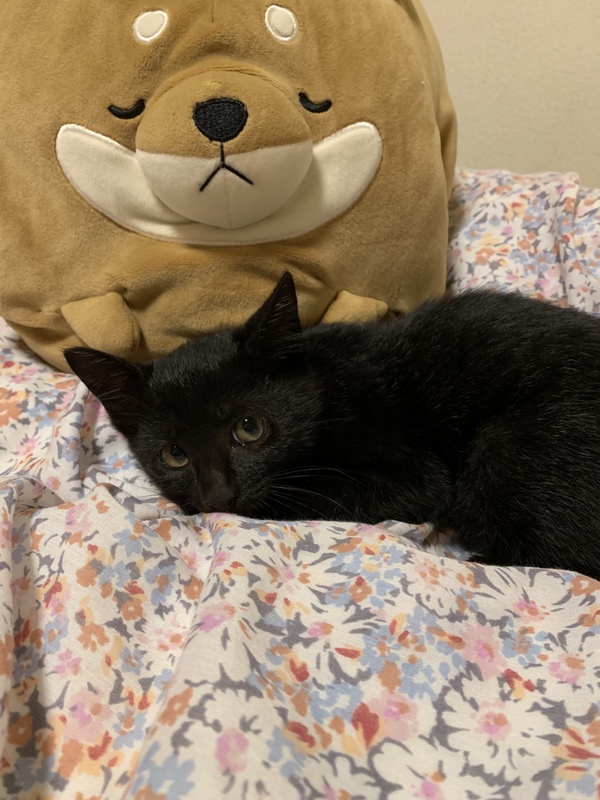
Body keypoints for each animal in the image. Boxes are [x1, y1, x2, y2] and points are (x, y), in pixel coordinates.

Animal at [65, 272, 600, 579]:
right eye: (173, 454)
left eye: (250, 428)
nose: (219, 496)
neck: (327, 388)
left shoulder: (416, 475)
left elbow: (305, 495)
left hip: (501, 446)